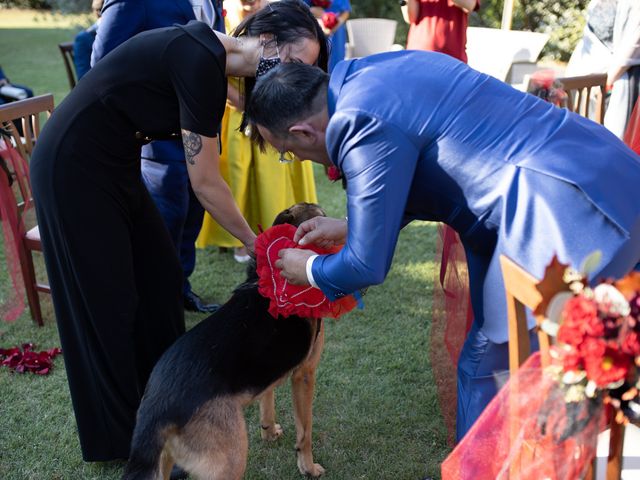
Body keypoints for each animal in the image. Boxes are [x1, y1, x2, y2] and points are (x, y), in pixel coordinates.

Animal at [123, 202, 328, 480]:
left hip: (163, 464)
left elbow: (267, 402)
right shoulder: (305, 374)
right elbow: (305, 432)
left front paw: (269, 432)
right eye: (322, 216)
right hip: (231, 460)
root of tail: (155, 412)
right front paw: (308, 467)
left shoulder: (268, 370)